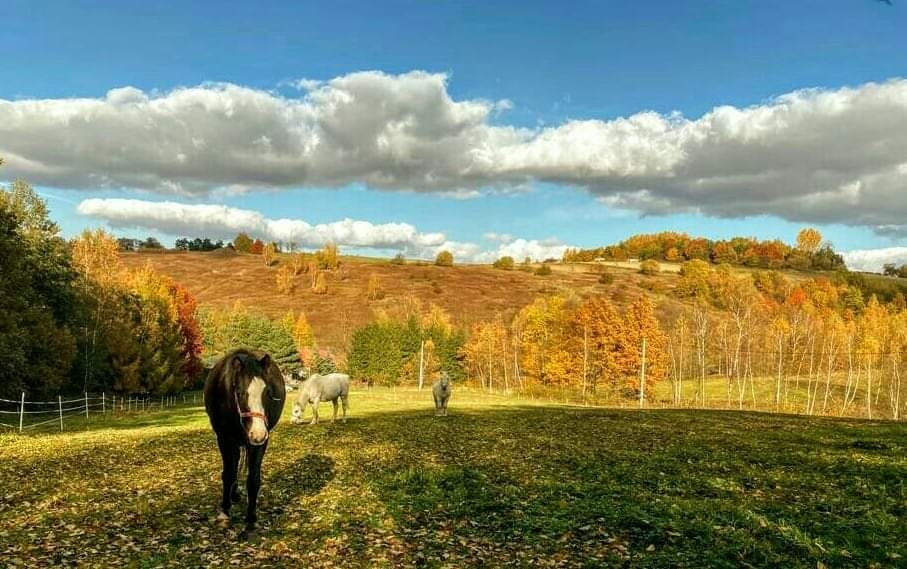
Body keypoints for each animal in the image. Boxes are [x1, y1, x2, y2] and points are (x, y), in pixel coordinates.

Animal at [204, 346, 286, 536]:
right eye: (240, 393)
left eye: (268, 393)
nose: (258, 432)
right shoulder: (224, 439)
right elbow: (228, 474)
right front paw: (224, 513)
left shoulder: (259, 443)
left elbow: (253, 479)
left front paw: (250, 520)